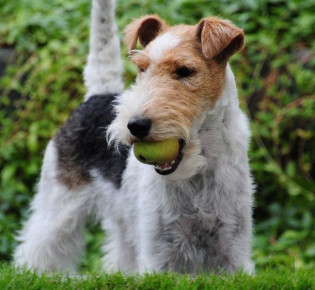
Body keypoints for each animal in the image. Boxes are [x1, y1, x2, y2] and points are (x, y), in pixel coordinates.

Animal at [13, 0, 256, 274]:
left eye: (185, 71)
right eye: (142, 68)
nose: (136, 125)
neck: (196, 173)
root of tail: (98, 94)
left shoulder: (233, 252)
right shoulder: (159, 255)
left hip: (122, 221)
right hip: (58, 202)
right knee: (37, 245)